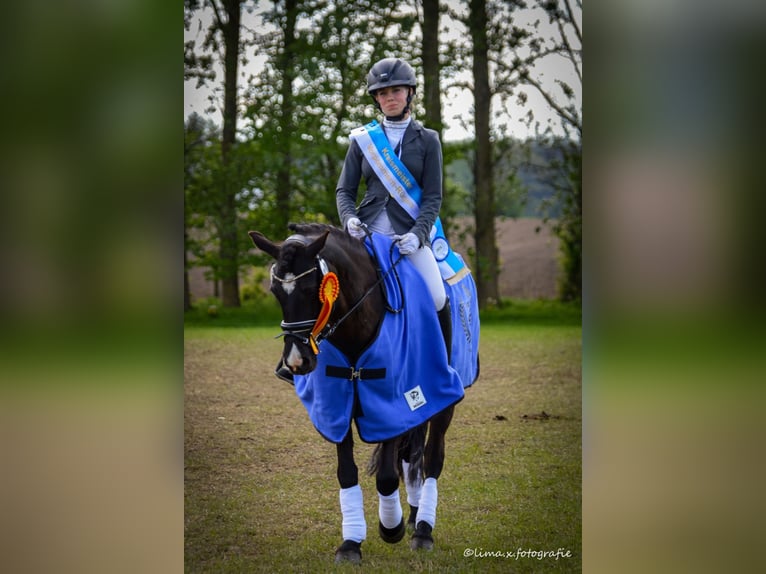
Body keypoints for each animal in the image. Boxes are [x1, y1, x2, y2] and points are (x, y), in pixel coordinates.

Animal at [250, 224, 480, 568]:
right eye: (276, 291)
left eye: (311, 289)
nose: (296, 361)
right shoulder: (337, 408)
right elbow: (347, 473)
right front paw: (351, 543)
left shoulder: (391, 405)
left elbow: (386, 476)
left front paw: (391, 528)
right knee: (411, 457)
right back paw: (414, 514)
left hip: (443, 400)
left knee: (431, 458)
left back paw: (422, 530)